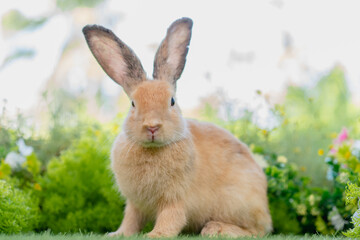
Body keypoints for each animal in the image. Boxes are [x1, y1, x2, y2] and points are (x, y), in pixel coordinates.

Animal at [83, 17, 272, 238]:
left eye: (172, 101)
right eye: (133, 104)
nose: (152, 127)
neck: (153, 150)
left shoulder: (176, 199)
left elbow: (171, 219)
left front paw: (154, 235)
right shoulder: (135, 203)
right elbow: (130, 220)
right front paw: (118, 234)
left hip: (238, 203)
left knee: (258, 231)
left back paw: (215, 229)